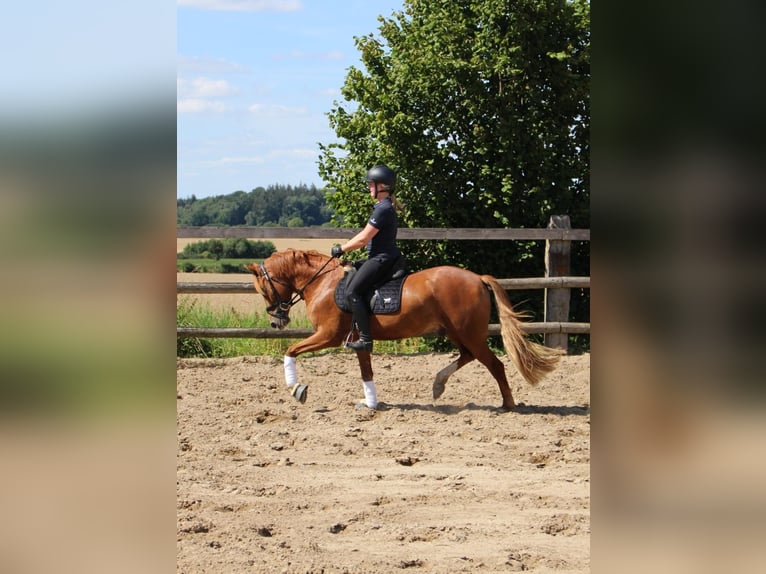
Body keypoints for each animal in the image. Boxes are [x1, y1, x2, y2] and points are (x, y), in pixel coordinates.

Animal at [244, 250, 560, 412]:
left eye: (263, 289)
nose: (276, 323)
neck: (323, 283)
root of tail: (476, 277)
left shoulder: (328, 336)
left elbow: (290, 350)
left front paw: (296, 388)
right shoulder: (359, 340)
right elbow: (366, 371)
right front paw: (370, 402)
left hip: (468, 332)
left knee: (494, 364)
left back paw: (507, 404)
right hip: (457, 332)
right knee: (468, 356)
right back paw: (438, 385)